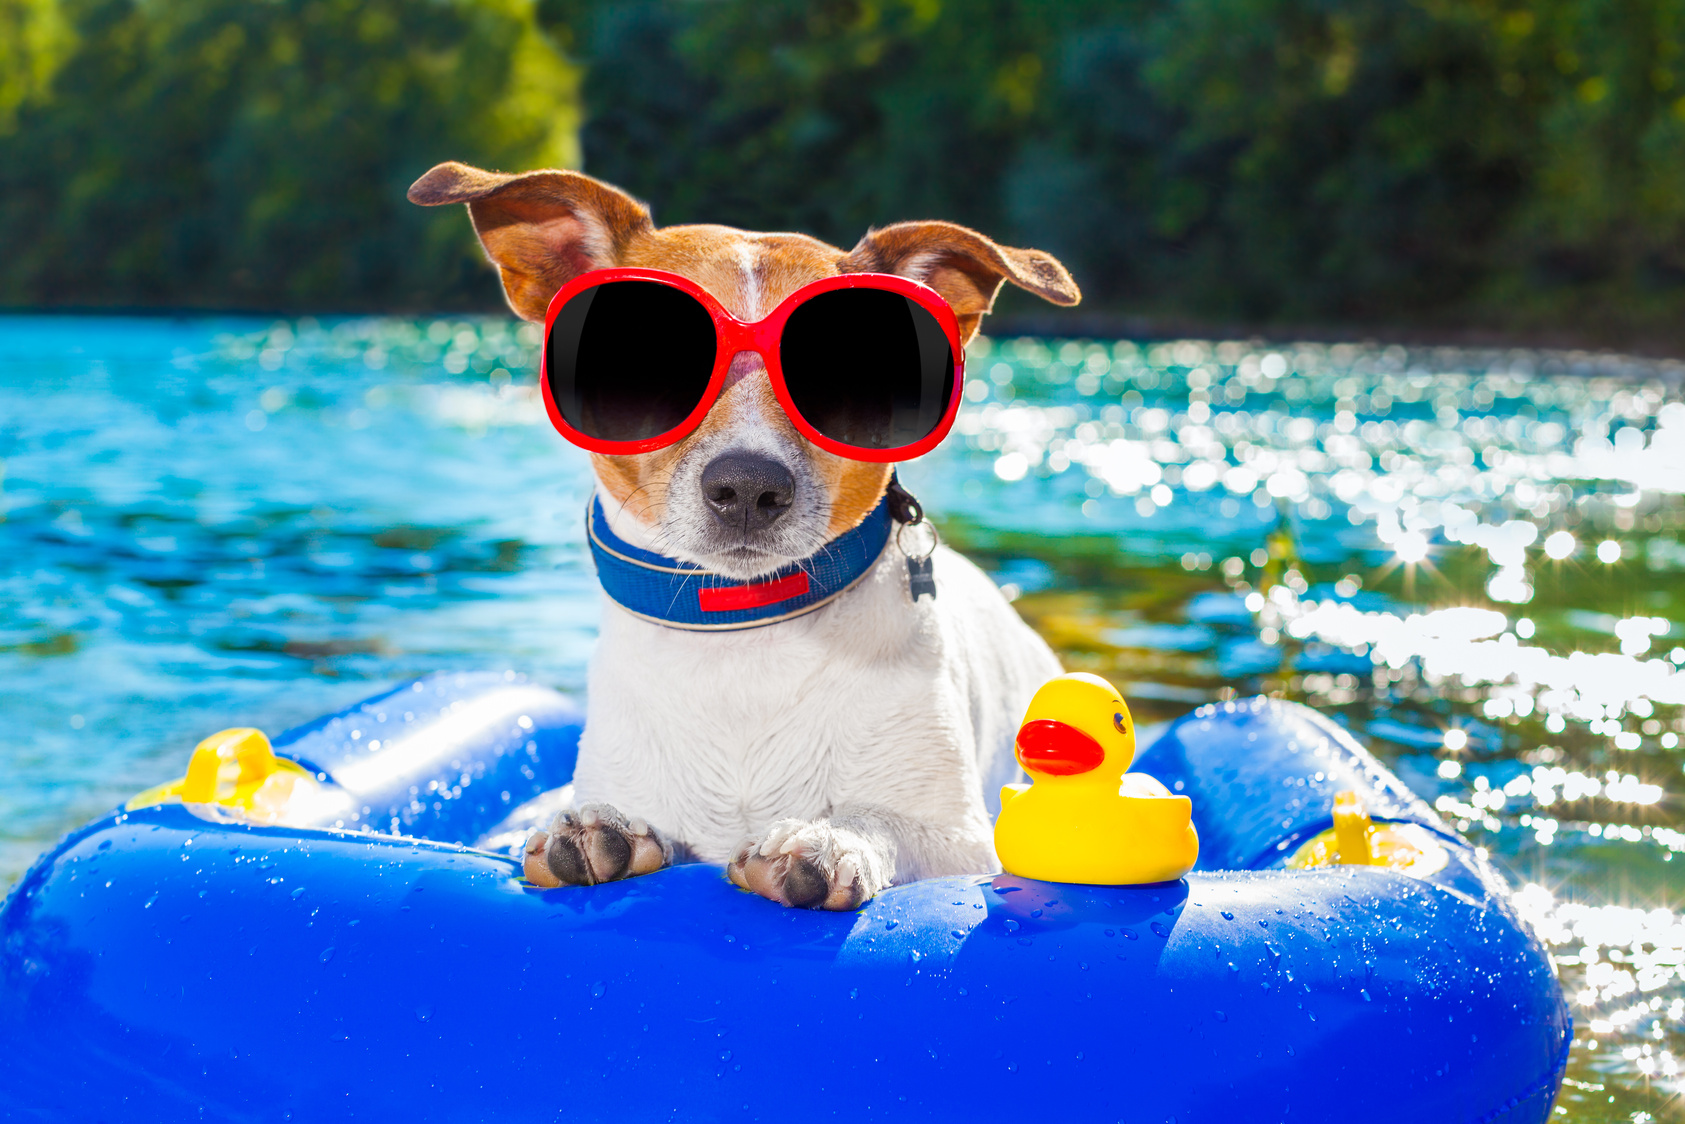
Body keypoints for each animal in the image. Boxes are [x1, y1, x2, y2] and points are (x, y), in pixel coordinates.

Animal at [407, 162, 1078, 909]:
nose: (750, 487)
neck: (743, 631)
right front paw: (601, 828)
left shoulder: (962, 843)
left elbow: (880, 819)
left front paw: (826, 838)